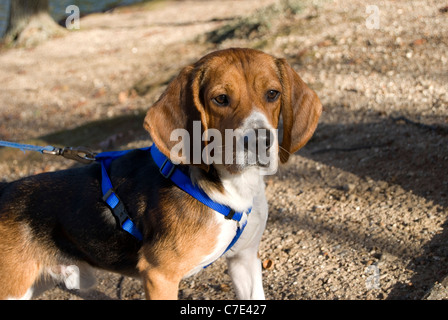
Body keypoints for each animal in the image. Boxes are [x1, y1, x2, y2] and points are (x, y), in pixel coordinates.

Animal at [0, 48, 322, 300]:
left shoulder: (245, 261)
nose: (259, 140)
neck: (231, 186)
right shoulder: (159, 276)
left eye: (273, 94)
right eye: (220, 98)